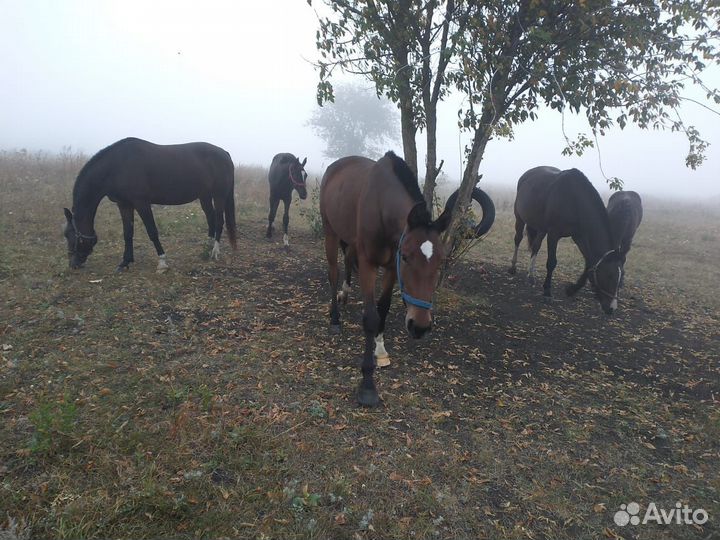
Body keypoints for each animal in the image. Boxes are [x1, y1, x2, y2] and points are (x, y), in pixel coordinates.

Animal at [62, 137, 236, 272]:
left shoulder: (142, 203)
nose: (73, 264)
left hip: (219, 195)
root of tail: (225, 153)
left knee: (219, 220)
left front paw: (162, 262)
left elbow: (152, 231)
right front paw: (125, 262)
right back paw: (207, 247)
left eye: (70, 235)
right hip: (204, 196)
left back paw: (215, 252)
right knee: (211, 218)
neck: (117, 166)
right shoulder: (124, 204)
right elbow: (127, 233)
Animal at [320, 150, 496, 408]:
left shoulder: (391, 269)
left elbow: (383, 308)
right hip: (330, 231)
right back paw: (335, 318)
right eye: (405, 256)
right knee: (333, 274)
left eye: (441, 260)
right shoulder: (370, 264)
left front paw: (380, 350)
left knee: (348, 259)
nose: (420, 326)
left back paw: (345, 294)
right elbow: (370, 317)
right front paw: (368, 385)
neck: (381, 207)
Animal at [506, 167, 624, 314]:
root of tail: (527, 174)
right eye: (609, 275)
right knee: (518, 239)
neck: (574, 200)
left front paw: (571, 290)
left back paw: (531, 276)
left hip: (541, 228)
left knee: (536, 246)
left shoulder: (579, 236)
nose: (612, 309)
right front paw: (547, 292)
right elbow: (551, 262)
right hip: (520, 218)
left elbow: (589, 263)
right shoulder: (553, 234)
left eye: (620, 278)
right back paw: (513, 267)